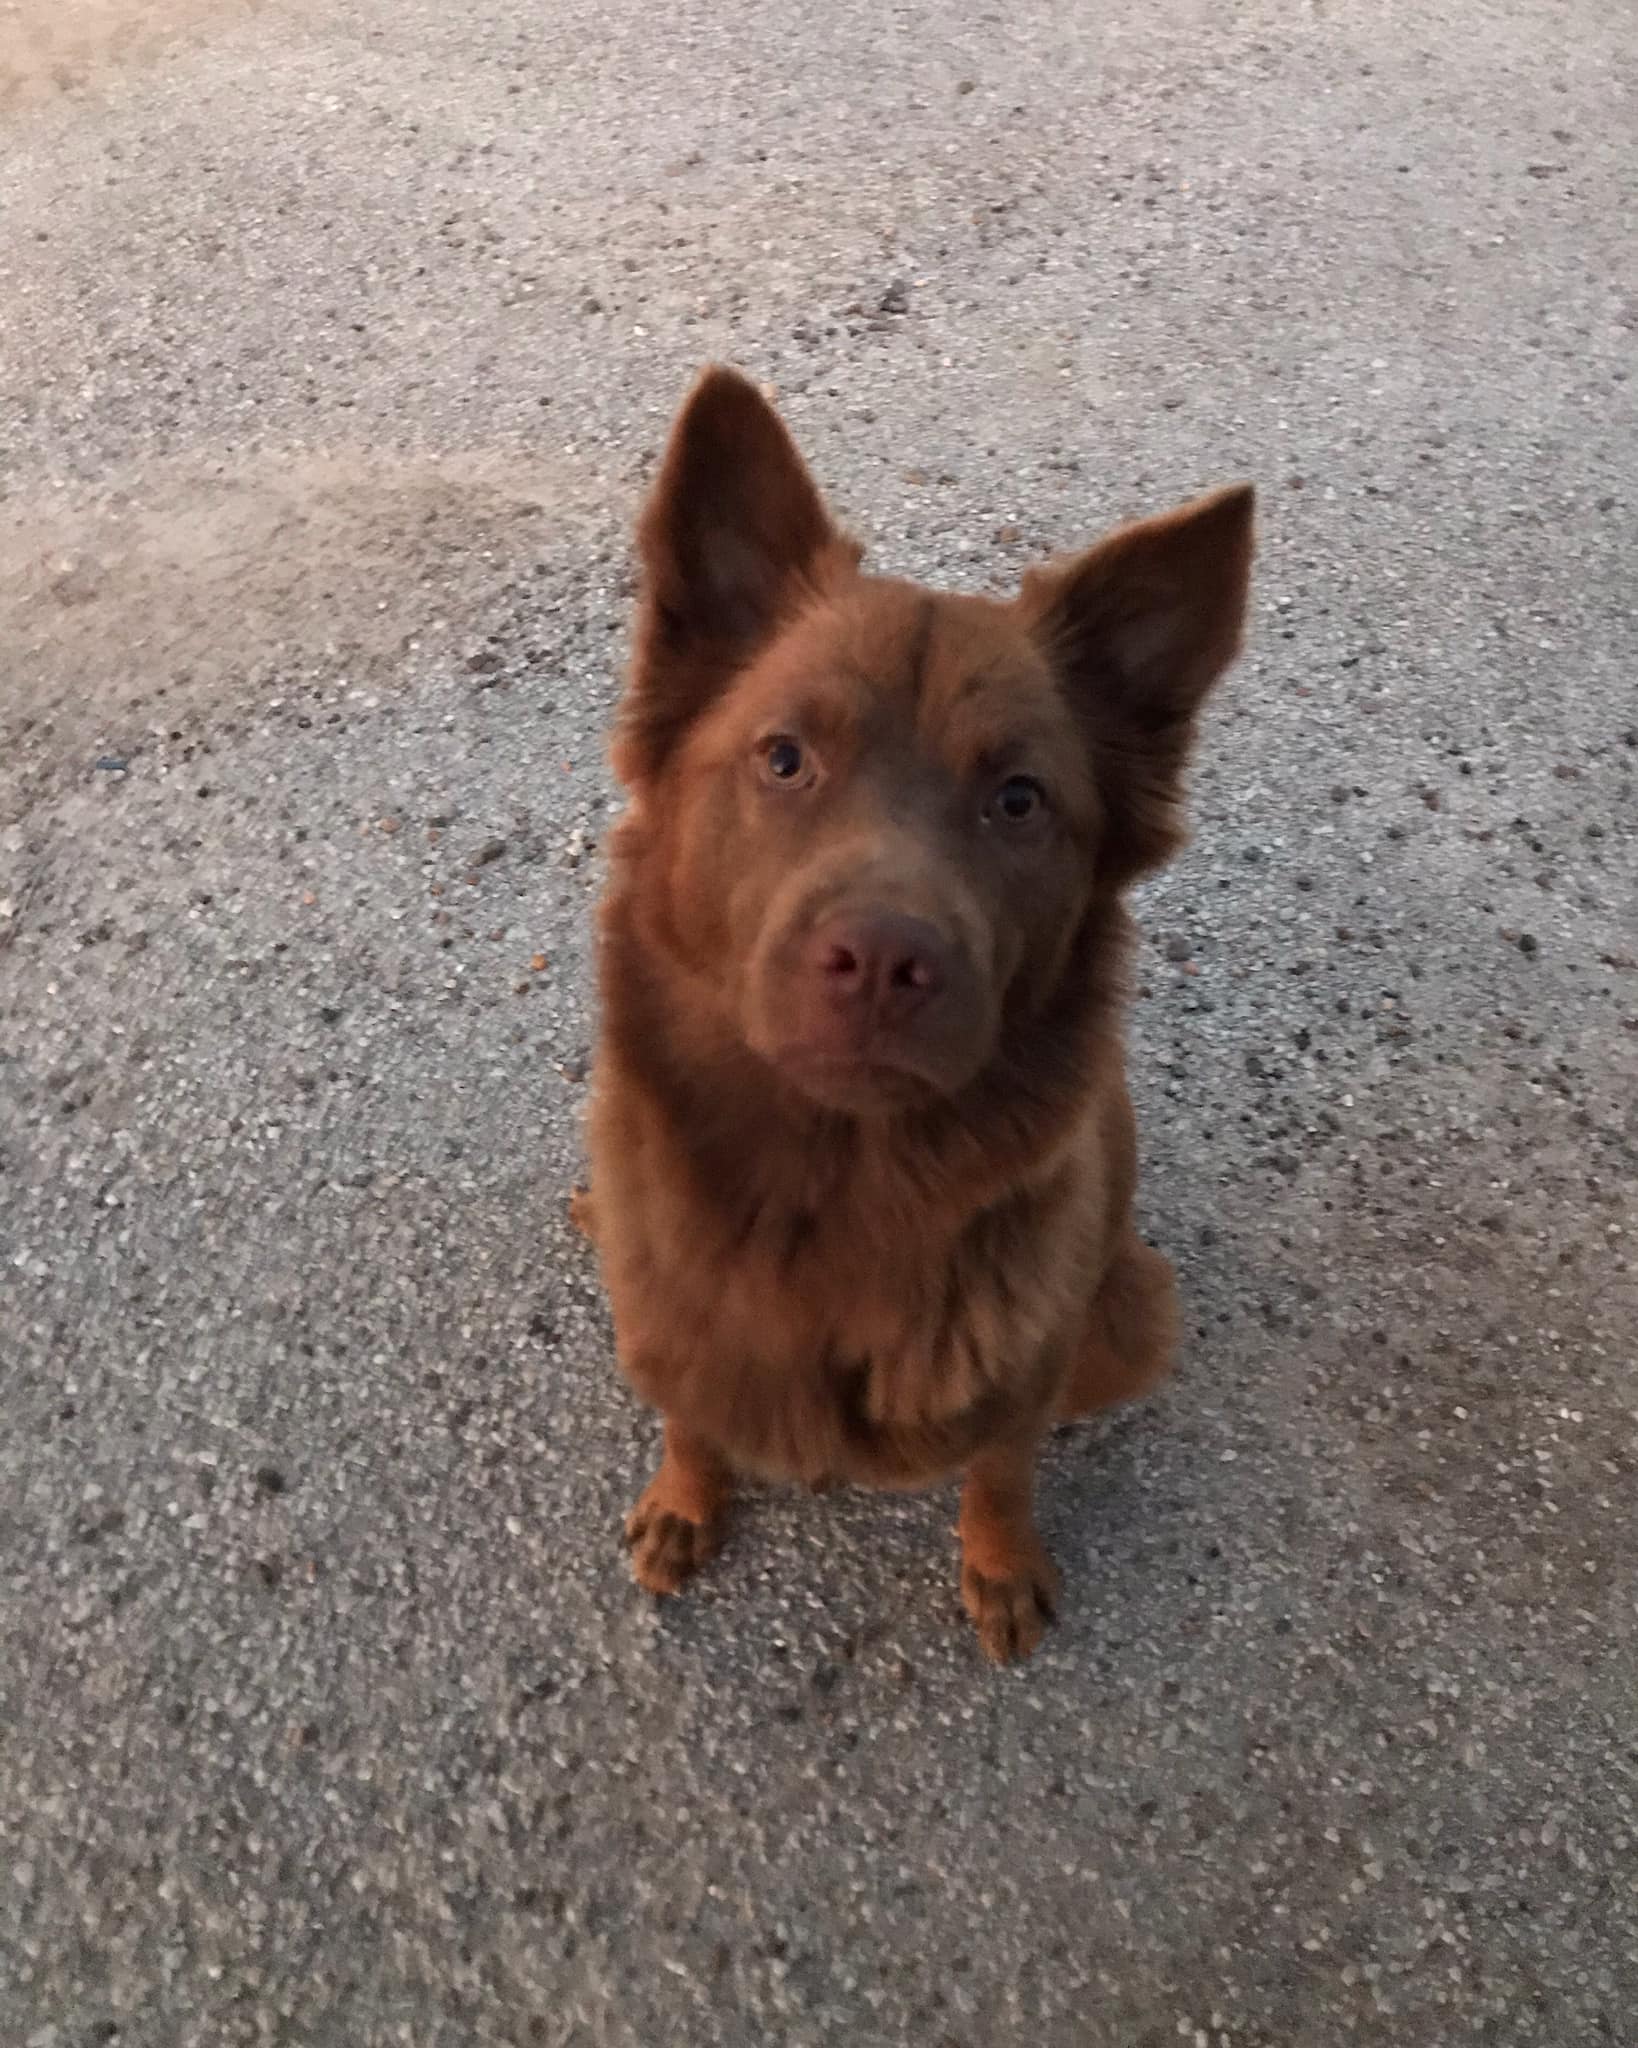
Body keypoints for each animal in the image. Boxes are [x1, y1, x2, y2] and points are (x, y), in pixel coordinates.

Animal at [577, 368, 1253, 1662]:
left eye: (1019, 800)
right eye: (785, 757)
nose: (886, 959)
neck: (832, 1189)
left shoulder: (1023, 1377)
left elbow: (1000, 1470)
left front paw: (1000, 1562)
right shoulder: (673, 1333)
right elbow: (691, 1415)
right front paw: (687, 1497)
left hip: (1130, 1311)